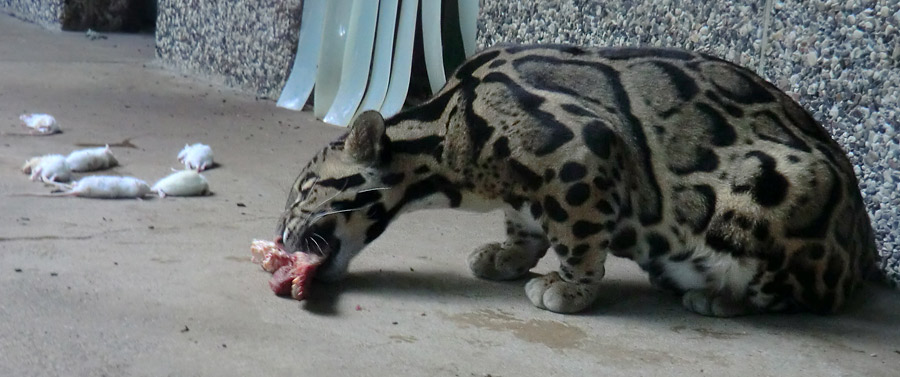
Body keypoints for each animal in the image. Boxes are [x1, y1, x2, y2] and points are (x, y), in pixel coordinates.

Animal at [274, 43, 880, 314]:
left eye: (303, 190)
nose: (279, 236)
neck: (448, 123)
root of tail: (865, 251)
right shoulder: (527, 189)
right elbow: (524, 223)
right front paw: (509, 254)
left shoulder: (581, 150)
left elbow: (579, 235)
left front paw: (571, 285)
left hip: (777, 189)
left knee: (799, 295)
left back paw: (721, 296)